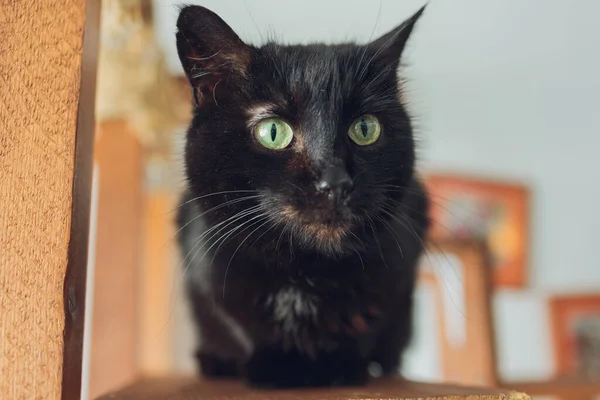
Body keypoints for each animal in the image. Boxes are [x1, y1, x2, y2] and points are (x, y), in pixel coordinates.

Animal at [176, 5, 428, 388]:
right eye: (273, 132)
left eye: (365, 128)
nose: (335, 181)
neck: (302, 271)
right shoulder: (203, 267)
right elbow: (233, 322)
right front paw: (275, 366)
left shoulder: (399, 269)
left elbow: (365, 325)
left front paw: (340, 365)